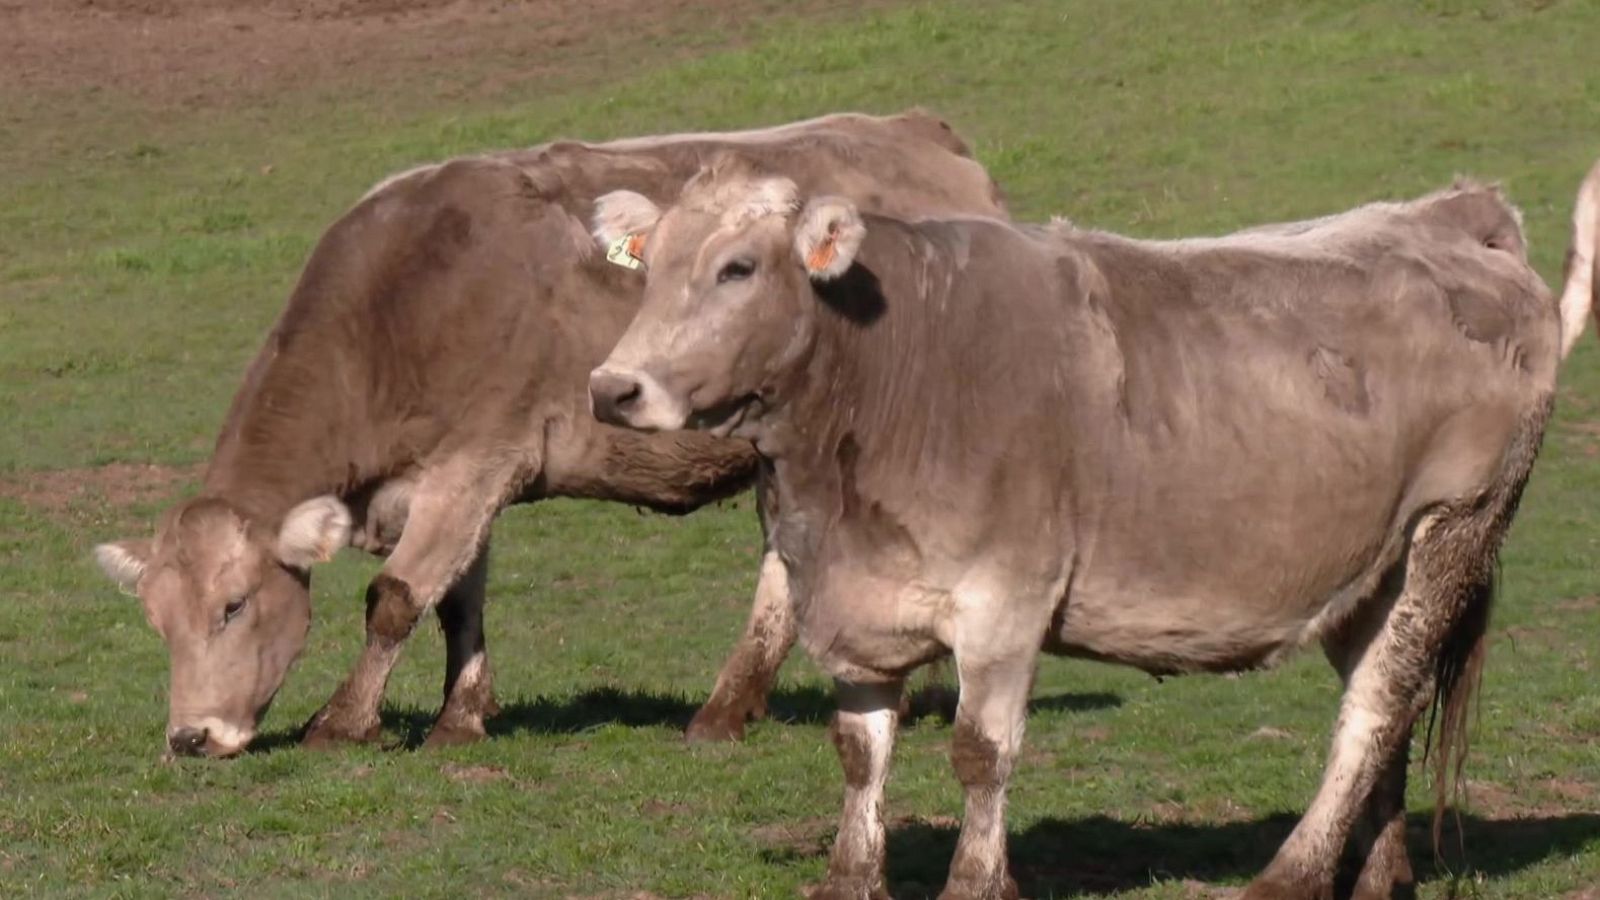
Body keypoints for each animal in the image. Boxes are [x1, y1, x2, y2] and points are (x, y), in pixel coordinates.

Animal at [91, 111, 1006, 758]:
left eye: (234, 605)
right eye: (158, 621)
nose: (190, 737)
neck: (399, 307)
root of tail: (921, 132)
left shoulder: (476, 460)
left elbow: (396, 598)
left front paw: (343, 722)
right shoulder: (457, 479)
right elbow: (457, 601)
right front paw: (462, 717)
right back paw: (748, 706)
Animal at [587, 161, 1577, 899]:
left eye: (738, 268)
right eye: (651, 262)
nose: (611, 387)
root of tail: (1447, 217)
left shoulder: (1005, 596)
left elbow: (981, 752)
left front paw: (976, 883)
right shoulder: (853, 601)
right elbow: (860, 749)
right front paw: (848, 878)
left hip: (1453, 529)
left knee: (1373, 709)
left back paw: (1288, 876)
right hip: (1370, 567)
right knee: (1391, 706)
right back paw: (1377, 876)